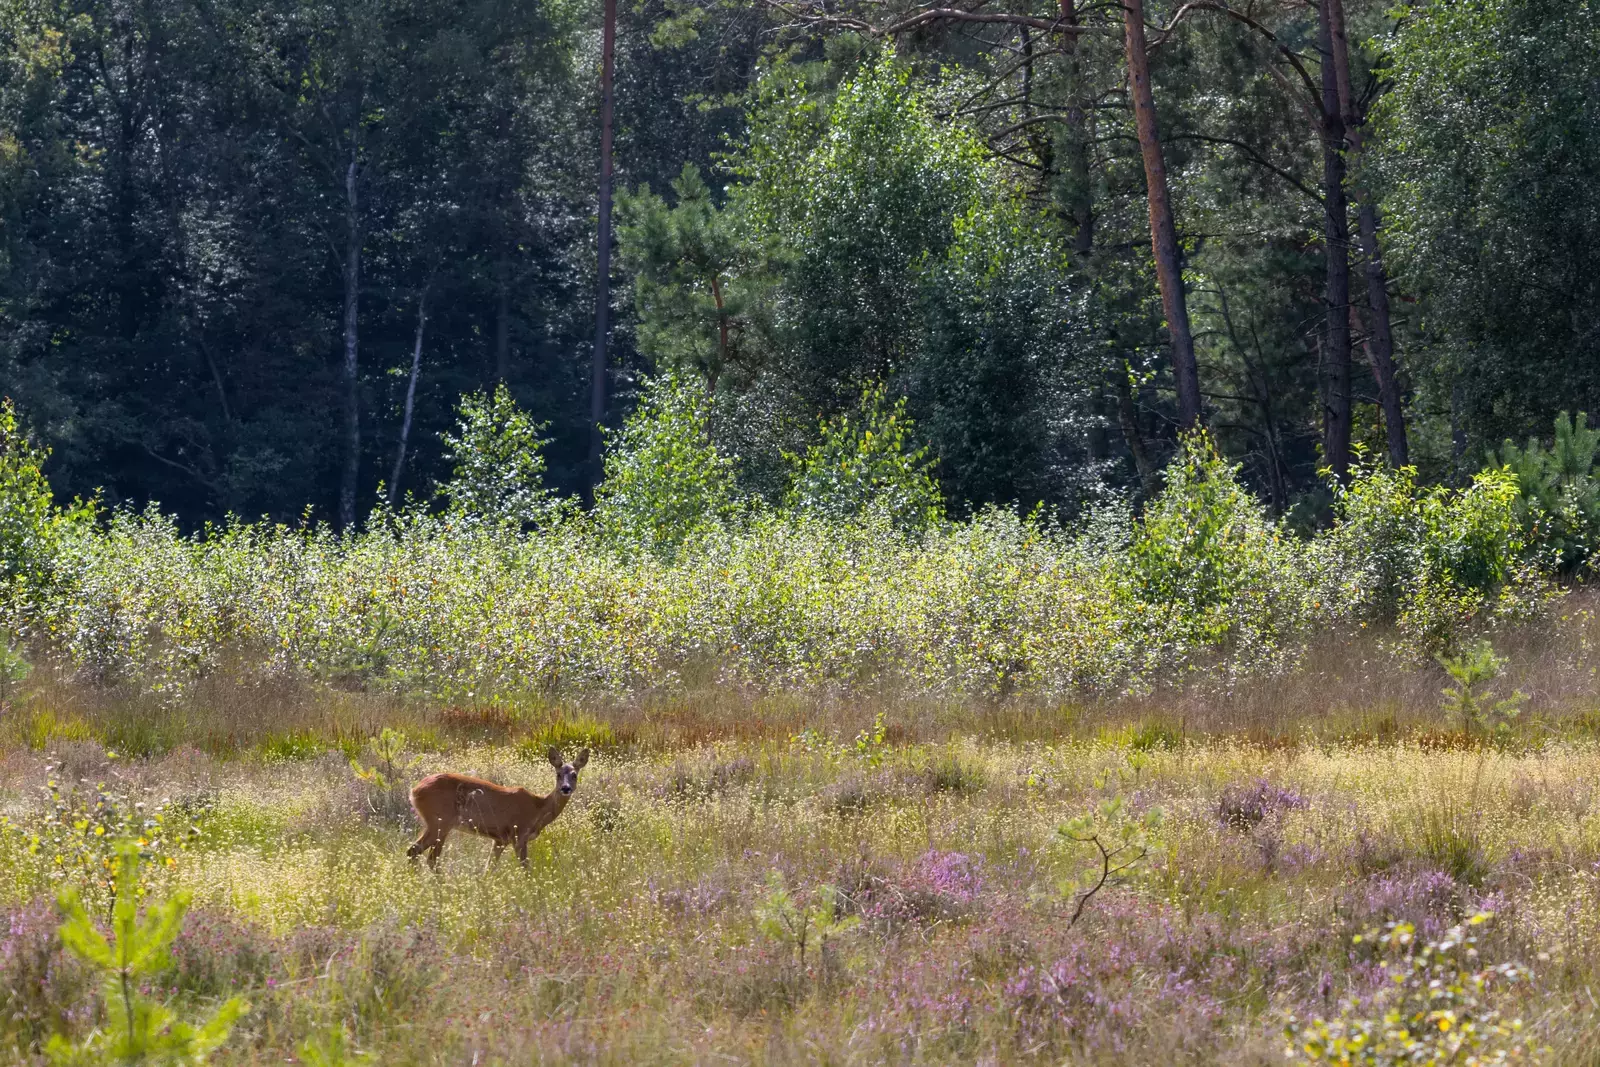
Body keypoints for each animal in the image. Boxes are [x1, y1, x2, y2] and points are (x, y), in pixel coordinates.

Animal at [409, 748, 592, 870]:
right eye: (558, 774)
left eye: (575, 775)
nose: (566, 788)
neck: (538, 808)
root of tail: (414, 791)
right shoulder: (519, 835)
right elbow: (526, 868)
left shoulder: (500, 840)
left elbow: (489, 868)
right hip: (439, 822)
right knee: (418, 852)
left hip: (440, 825)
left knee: (426, 856)